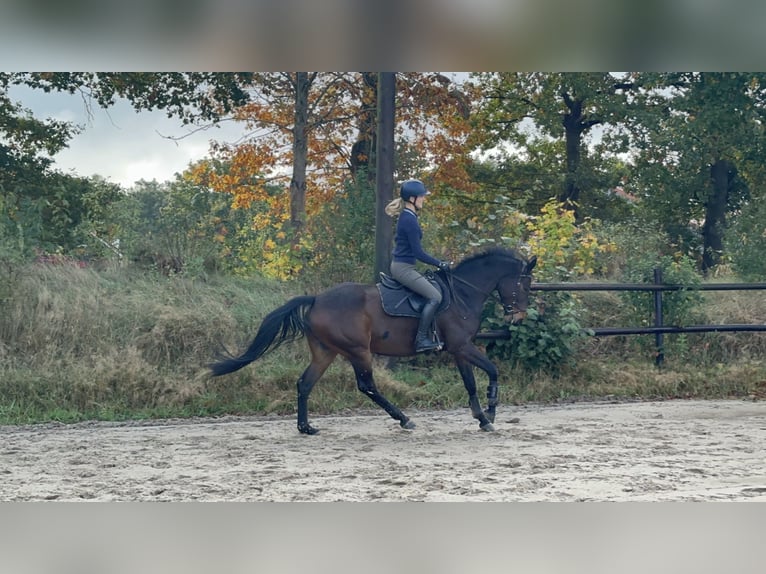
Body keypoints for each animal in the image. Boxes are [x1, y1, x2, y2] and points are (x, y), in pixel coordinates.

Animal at [209, 247, 537, 434]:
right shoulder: (462, 346)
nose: (518, 317)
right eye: (525, 284)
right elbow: (491, 371)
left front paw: (482, 416)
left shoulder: (458, 350)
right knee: (367, 386)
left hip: (325, 352)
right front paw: (490, 413)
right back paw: (404, 419)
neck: (462, 293)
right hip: (358, 351)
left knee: (305, 383)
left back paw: (306, 427)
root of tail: (316, 299)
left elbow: (471, 382)